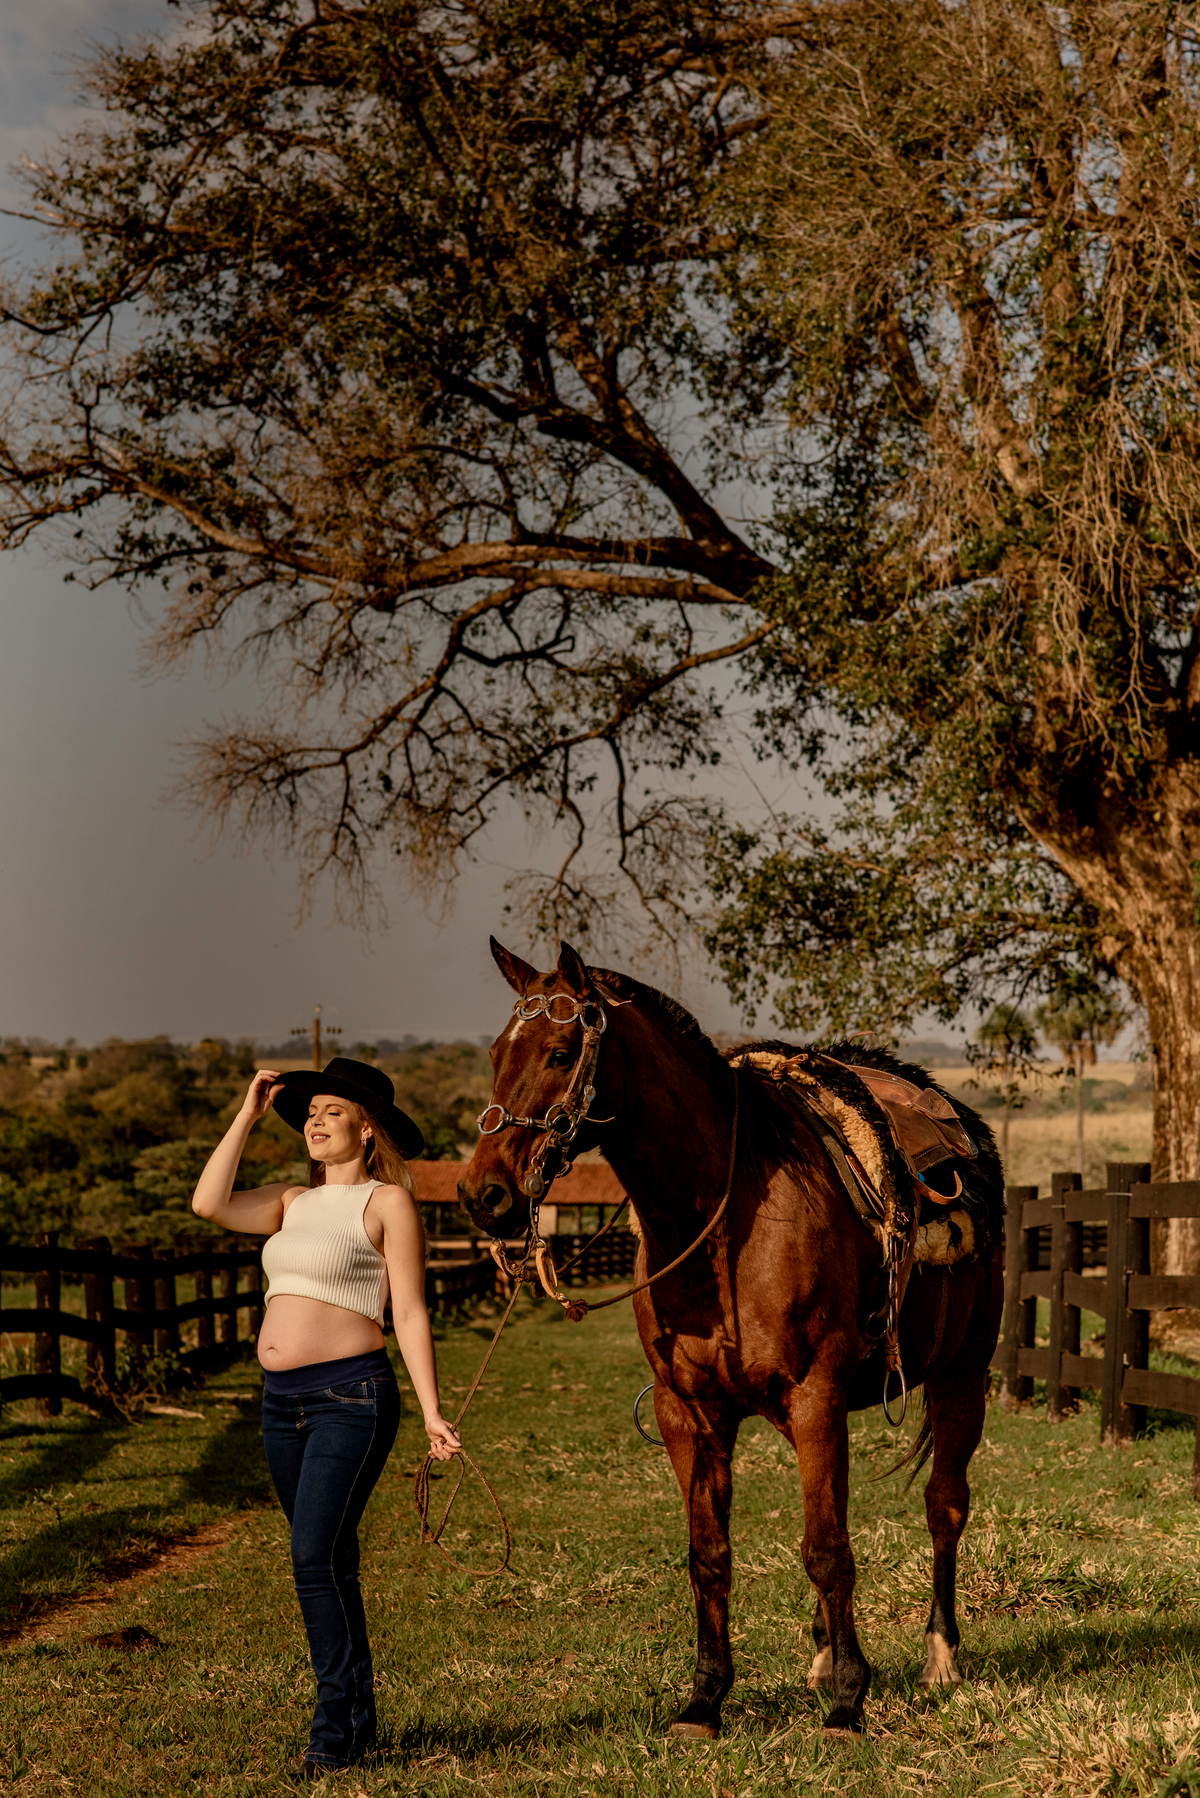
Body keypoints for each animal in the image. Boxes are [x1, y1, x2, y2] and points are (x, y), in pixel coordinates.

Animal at [457, 940, 1005, 1738]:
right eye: (498, 1052)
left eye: (560, 1052)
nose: (483, 1195)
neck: (726, 1211)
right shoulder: (691, 1413)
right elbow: (710, 1554)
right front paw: (705, 1700)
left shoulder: (816, 1398)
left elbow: (827, 1548)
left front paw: (848, 1701)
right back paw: (821, 1655)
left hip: (962, 1374)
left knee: (945, 1506)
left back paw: (939, 1656)